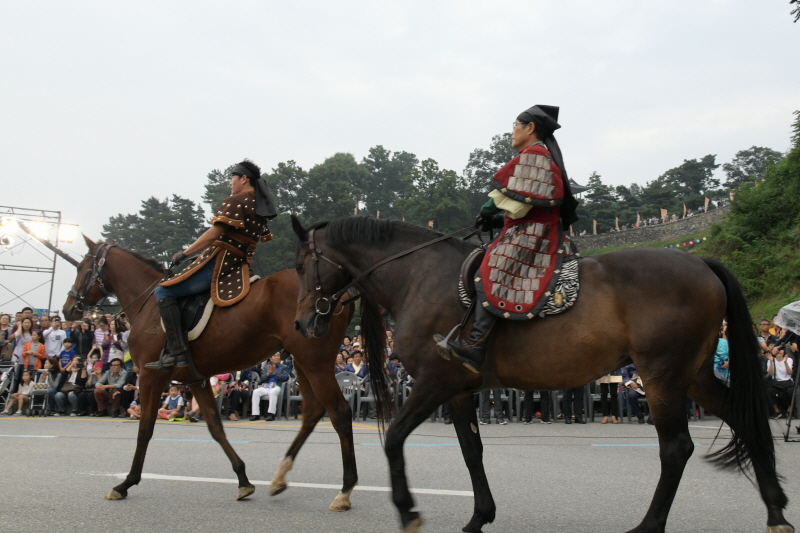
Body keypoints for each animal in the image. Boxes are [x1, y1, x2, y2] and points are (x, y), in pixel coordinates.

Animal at [62, 235, 360, 510]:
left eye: (81, 267)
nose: (68, 308)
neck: (147, 305)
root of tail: (340, 293)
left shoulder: (150, 377)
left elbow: (145, 429)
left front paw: (126, 483)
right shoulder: (197, 379)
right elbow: (216, 428)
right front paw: (243, 480)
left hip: (315, 362)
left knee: (340, 412)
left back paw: (345, 490)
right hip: (303, 362)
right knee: (312, 412)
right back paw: (280, 477)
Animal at [290, 216, 792, 532]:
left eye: (299, 265)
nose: (301, 323)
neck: (419, 277)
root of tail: (699, 261)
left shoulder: (435, 382)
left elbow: (394, 439)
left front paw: (408, 510)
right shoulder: (459, 390)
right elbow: (472, 451)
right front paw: (479, 516)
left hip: (662, 376)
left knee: (676, 448)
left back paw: (650, 524)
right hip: (694, 376)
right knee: (746, 419)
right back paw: (776, 512)